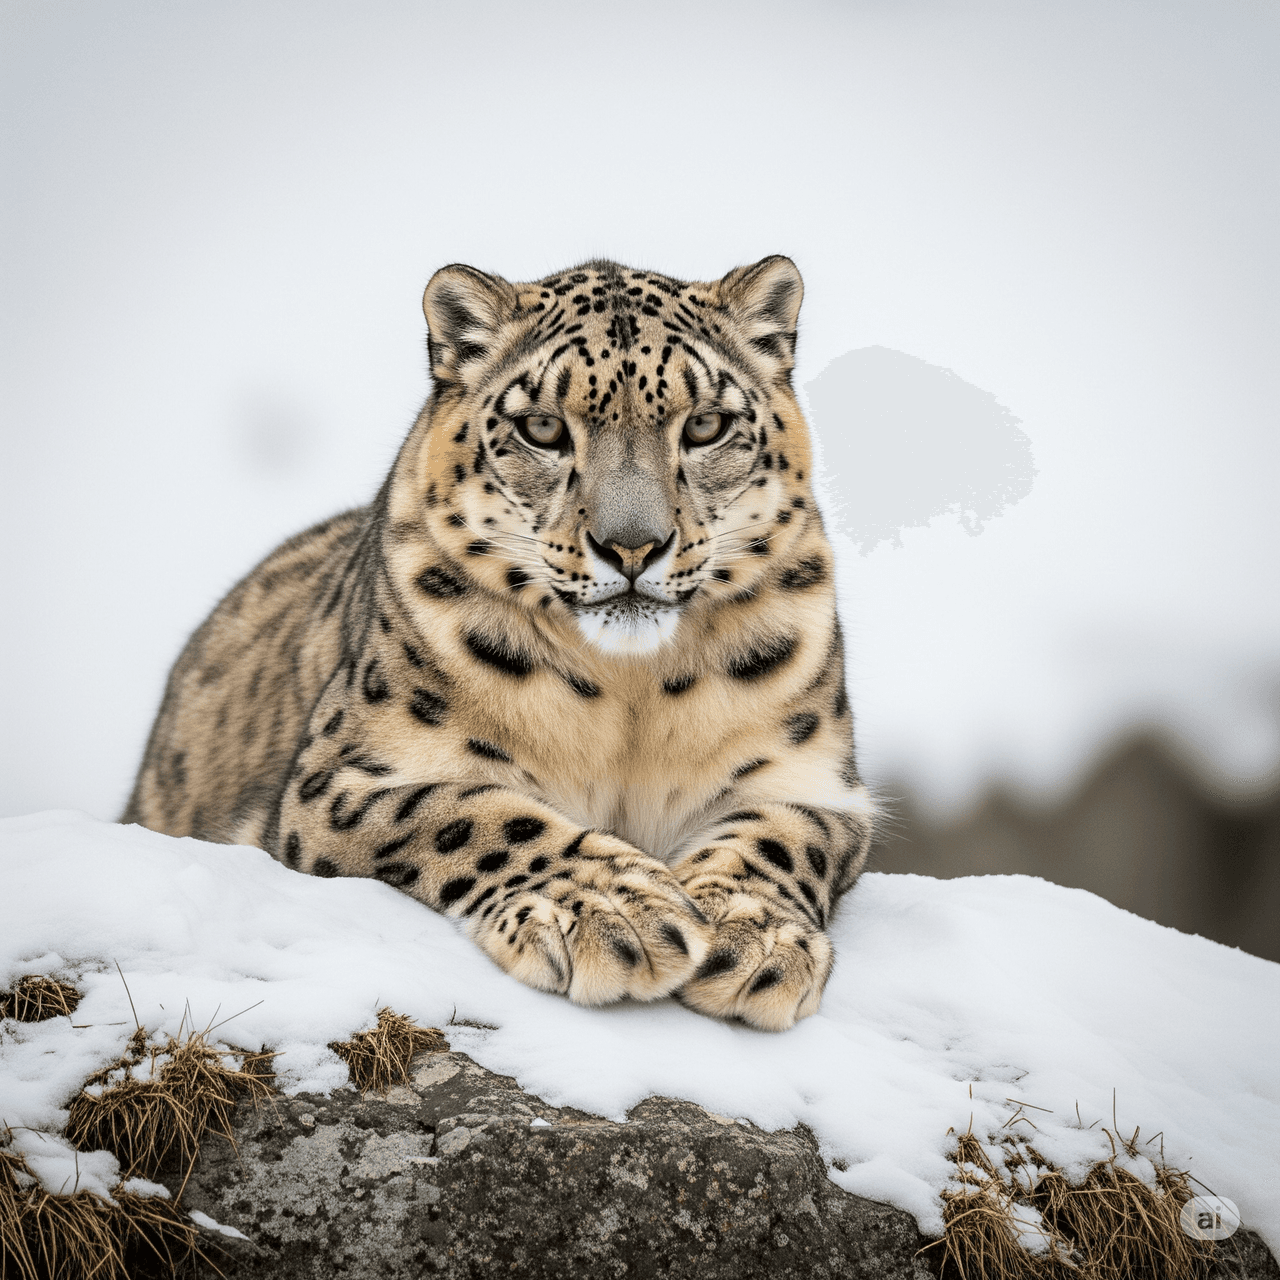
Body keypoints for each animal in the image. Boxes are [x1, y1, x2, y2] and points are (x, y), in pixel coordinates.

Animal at [123, 255, 873, 1031]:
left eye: (706, 425)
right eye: (542, 427)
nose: (632, 545)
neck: (629, 700)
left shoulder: (807, 778)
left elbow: (776, 840)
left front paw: (758, 939)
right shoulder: (344, 778)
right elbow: (473, 814)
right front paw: (615, 911)